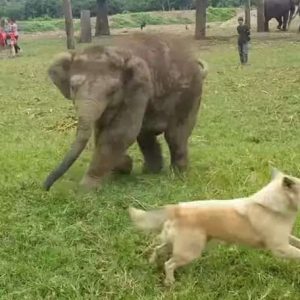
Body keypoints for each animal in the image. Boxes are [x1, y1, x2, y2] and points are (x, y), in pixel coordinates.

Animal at [43, 34, 209, 191]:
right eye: (73, 87)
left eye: (112, 91)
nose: (46, 186)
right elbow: (102, 131)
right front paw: (123, 167)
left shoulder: (139, 87)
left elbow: (120, 132)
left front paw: (86, 188)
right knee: (145, 136)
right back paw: (150, 172)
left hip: (191, 94)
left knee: (175, 135)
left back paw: (178, 175)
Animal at [129, 170, 300, 284]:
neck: (274, 204)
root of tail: (177, 208)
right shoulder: (281, 247)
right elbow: (298, 252)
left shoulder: (286, 238)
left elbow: (297, 241)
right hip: (189, 252)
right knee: (169, 264)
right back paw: (170, 282)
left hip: (175, 244)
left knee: (158, 249)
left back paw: (151, 263)